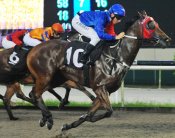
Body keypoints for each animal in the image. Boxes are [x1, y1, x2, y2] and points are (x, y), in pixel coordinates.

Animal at [26, 11, 171, 130]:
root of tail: (34, 49)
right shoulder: (100, 88)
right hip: (45, 76)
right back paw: (49, 119)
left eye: (156, 24)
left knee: (34, 93)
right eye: (150, 25)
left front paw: (68, 125)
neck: (116, 56)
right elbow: (109, 111)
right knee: (35, 94)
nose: (167, 39)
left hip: (56, 78)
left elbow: (89, 114)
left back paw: (45, 117)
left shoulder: (106, 91)